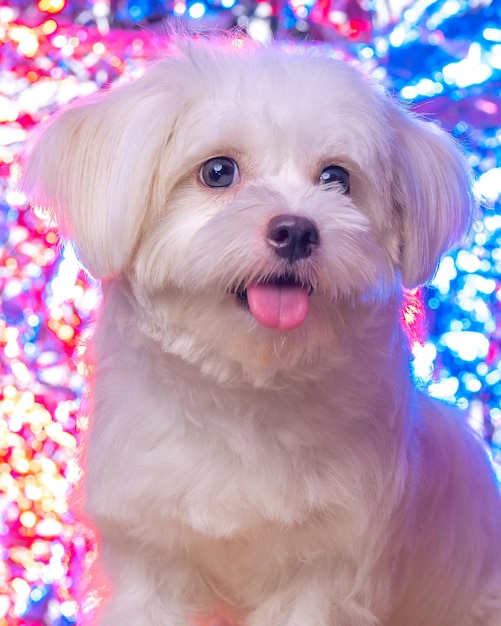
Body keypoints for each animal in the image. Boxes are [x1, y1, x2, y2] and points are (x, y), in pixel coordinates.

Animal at [23, 33, 500, 624]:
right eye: (218, 172)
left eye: (337, 178)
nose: (296, 229)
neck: (246, 386)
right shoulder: (150, 556)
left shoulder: (328, 571)